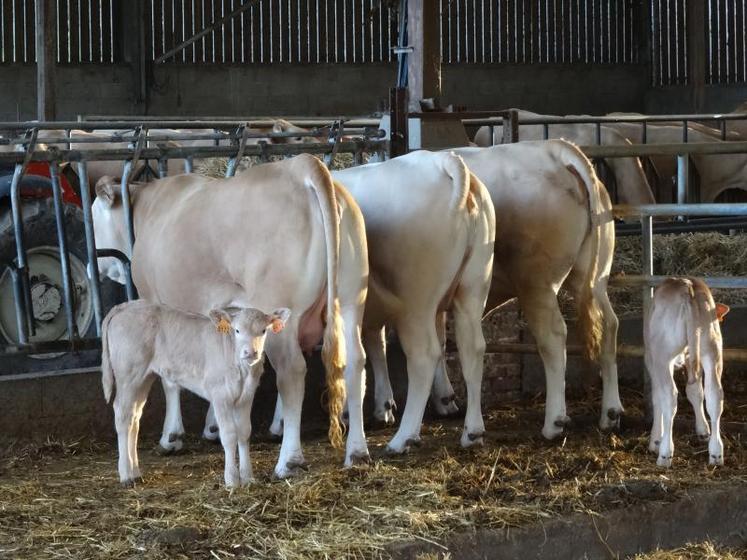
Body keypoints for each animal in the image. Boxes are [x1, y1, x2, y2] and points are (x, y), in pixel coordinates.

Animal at [102, 300, 292, 488]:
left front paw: (248, 478)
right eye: (237, 330)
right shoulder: (220, 395)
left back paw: (135, 473)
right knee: (122, 414)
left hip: (144, 377)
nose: (251, 352)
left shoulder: (246, 396)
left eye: (263, 330)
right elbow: (229, 435)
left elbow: (244, 433)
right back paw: (126, 475)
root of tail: (125, 306)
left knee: (134, 417)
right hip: (128, 374)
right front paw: (231, 480)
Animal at [644, 276, 732, 468]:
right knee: (715, 395)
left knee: (669, 398)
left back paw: (665, 453)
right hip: (711, 350)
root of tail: (687, 286)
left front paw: (655, 440)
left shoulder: (651, 360)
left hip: (663, 355)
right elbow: (695, 392)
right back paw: (716, 453)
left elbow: (657, 397)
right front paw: (702, 429)